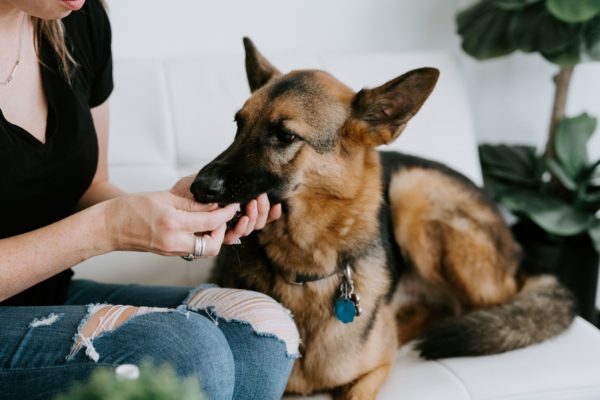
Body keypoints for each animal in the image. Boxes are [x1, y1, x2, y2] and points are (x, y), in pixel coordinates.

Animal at [190, 36, 576, 396]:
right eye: (238, 125)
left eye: (284, 135)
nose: (198, 187)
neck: (305, 270)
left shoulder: (373, 373)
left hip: (413, 190)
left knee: (486, 305)